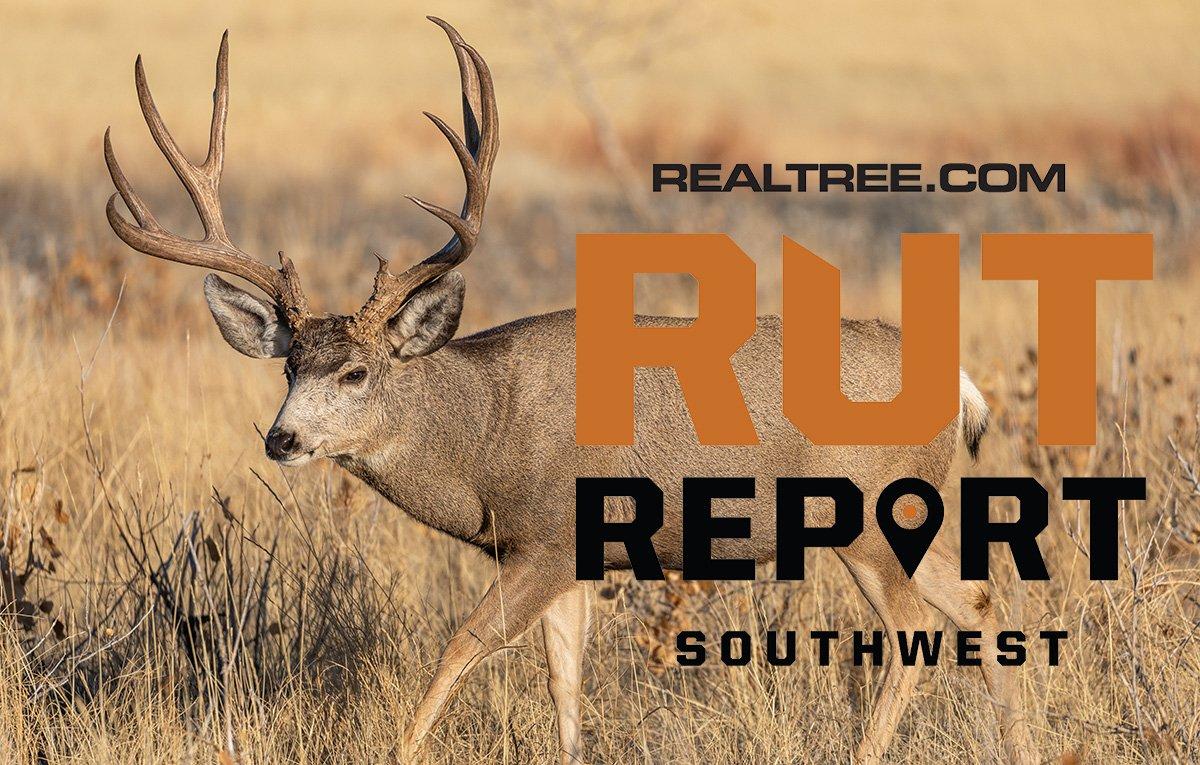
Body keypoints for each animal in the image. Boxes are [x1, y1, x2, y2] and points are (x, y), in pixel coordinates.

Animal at [102, 17, 1040, 765]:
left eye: (355, 371)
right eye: (289, 365)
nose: (282, 438)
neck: (483, 435)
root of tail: (960, 382)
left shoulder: (549, 535)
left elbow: (463, 644)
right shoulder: (571, 560)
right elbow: (564, 684)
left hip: (869, 511)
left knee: (915, 628)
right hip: (913, 510)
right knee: (979, 600)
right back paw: (1022, 745)